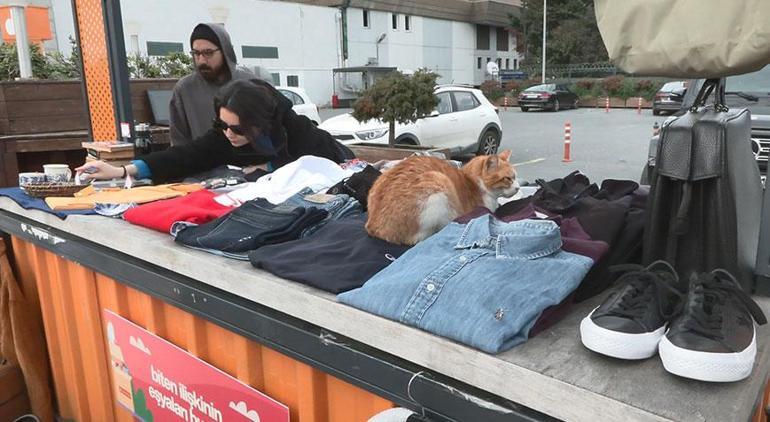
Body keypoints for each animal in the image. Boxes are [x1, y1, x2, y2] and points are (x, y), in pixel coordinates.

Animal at [364, 151, 516, 244]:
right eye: (508, 178)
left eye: (515, 176)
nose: (518, 188)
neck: (472, 180)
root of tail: (373, 226)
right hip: (438, 183)